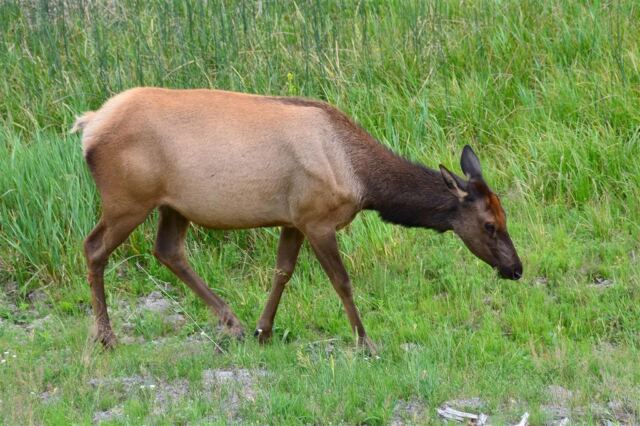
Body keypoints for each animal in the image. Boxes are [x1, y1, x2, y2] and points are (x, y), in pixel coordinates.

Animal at [72, 87, 522, 354]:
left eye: (505, 216)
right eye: (489, 224)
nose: (516, 268)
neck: (361, 180)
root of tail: (88, 124)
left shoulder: (293, 218)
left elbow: (282, 271)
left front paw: (264, 330)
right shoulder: (318, 218)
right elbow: (341, 281)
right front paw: (365, 342)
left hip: (173, 206)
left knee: (167, 250)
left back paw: (233, 323)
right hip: (128, 199)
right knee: (94, 247)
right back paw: (106, 336)